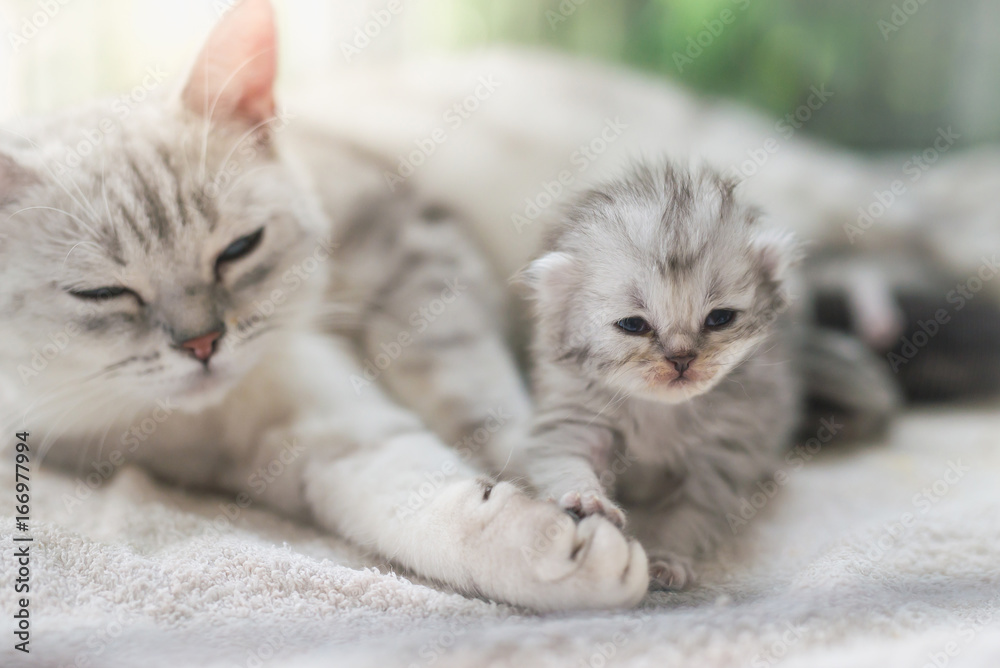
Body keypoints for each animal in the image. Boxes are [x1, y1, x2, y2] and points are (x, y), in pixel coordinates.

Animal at [0, 0, 648, 612]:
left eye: (238, 249)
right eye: (103, 293)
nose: (203, 344)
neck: (218, 417)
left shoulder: (416, 256)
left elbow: (479, 401)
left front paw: (570, 487)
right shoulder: (320, 450)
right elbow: (424, 507)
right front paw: (562, 550)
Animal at [516, 164, 900, 588]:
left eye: (719, 318)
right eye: (633, 325)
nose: (681, 359)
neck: (661, 412)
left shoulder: (722, 457)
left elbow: (690, 515)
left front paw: (666, 558)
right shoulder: (573, 417)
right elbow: (563, 457)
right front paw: (586, 499)